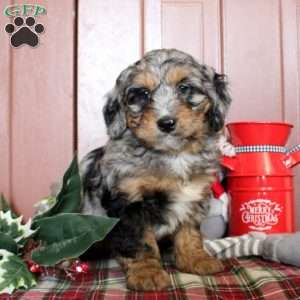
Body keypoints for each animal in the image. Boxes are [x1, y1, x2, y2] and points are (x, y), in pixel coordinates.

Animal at [79, 49, 232, 290]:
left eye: (184, 87)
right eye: (142, 93)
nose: (166, 123)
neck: (173, 154)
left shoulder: (194, 195)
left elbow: (189, 232)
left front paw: (196, 259)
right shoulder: (130, 200)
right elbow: (140, 242)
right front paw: (146, 273)